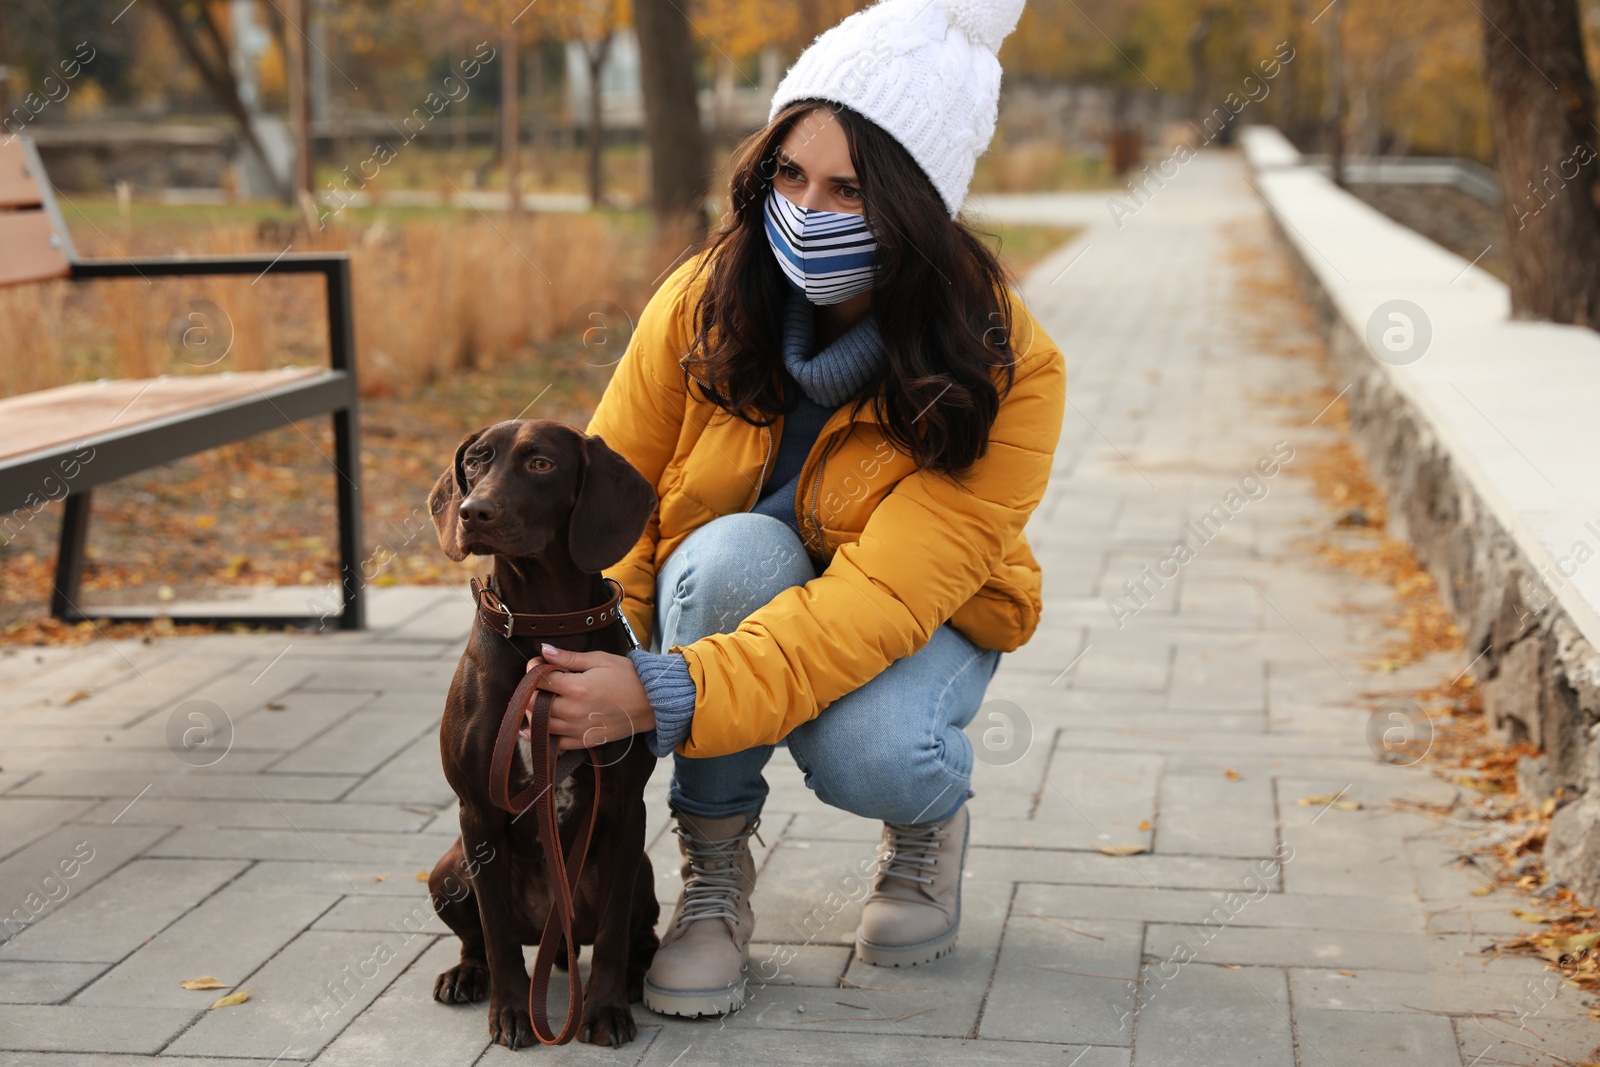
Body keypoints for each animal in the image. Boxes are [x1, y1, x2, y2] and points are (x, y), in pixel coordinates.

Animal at [425, 419, 662, 1049]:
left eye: (540, 464)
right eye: (475, 462)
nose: (473, 512)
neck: (545, 629)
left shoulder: (627, 807)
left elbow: (612, 936)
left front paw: (605, 1010)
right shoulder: (477, 812)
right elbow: (499, 936)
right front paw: (512, 1012)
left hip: (641, 870)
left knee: (635, 932)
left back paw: (638, 976)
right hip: (449, 871)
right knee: (478, 938)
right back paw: (466, 975)